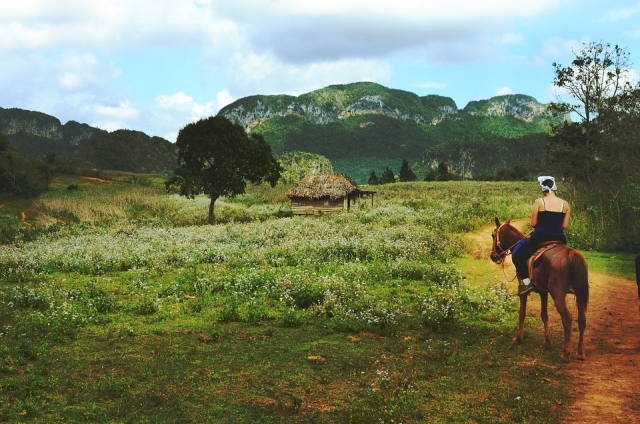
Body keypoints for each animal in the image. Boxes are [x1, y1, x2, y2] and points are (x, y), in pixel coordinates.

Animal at [490, 218, 589, 361]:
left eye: (493, 235)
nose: (493, 256)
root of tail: (571, 253)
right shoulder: (543, 291)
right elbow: (544, 315)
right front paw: (547, 341)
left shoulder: (523, 291)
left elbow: (522, 313)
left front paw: (518, 338)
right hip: (580, 293)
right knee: (582, 319)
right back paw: (580, 352)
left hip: (558, 295)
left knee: (567, 319)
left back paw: (566, 353)